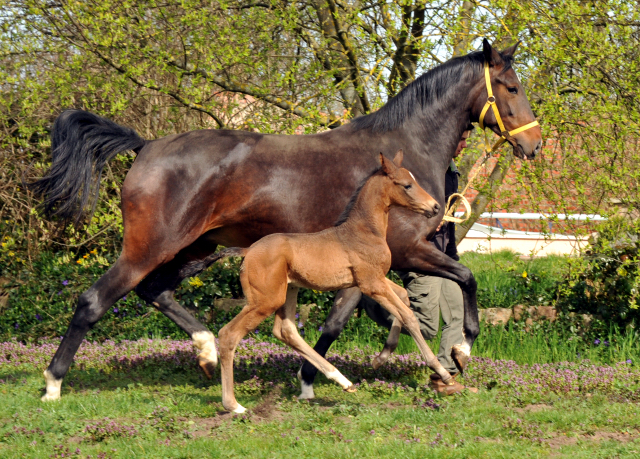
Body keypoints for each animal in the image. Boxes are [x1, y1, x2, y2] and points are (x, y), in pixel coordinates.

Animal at [216, 151, 456, 414]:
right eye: (407, 185)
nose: (435, 206)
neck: (365, 231)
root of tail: (247, 251)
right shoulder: (371, 283)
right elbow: (408, 315)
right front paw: (443, 373)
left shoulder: (374, 280)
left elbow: (403, 298)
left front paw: (381, 357)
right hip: (265, 300)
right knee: (228, 334)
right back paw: (234, 405)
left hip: (289, 291)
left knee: (285, 331)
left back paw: (342, 381)